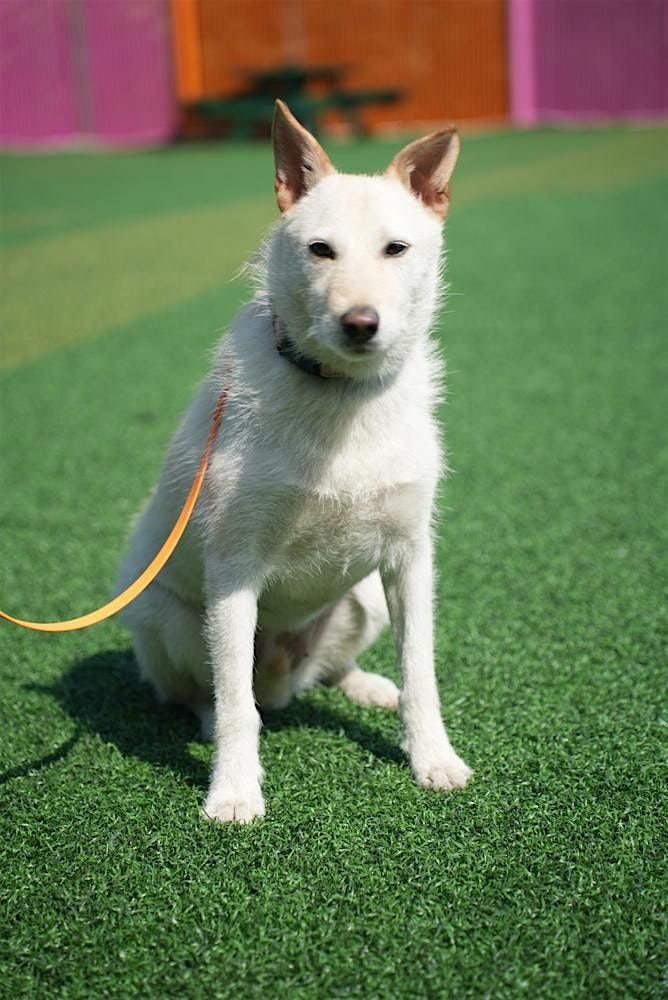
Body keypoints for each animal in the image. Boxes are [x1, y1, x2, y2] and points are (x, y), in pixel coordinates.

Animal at [116, 99, 470, 820]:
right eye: (320, 250)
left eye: (396, 249)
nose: (360, 323)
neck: (340, 396)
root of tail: (285, 676)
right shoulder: (234, 572)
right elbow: (235, 706)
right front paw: (233, 790)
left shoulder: (410, 558)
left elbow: (422, 673)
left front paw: (432, 759)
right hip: (169, 619)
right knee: (215, 695)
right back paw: (212, 721)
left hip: (365, 598)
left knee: (327, 672)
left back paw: (364, 685)